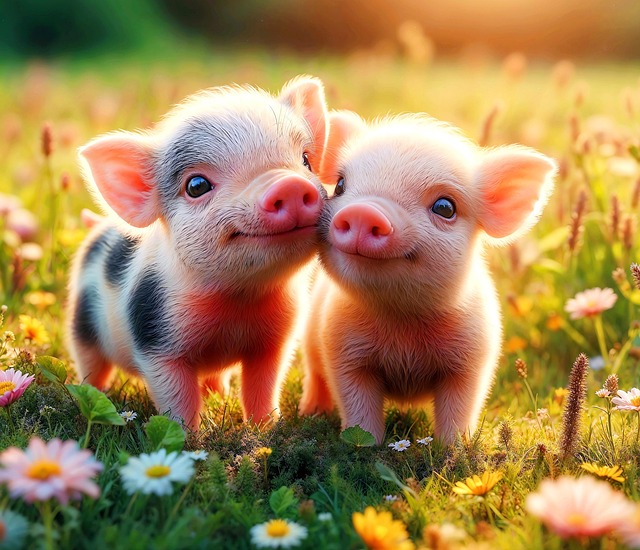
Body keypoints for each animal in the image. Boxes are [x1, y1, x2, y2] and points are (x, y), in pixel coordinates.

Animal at [66, 76, 329, 429]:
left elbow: (263, 385)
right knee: (91, 365)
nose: (289, 184)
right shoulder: (155, 337)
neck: (240, 300)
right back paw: (94, 394)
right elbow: (177, 398)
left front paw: (264, 428)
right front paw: (187, 436)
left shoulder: (276, 340)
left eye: (305, 161)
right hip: (82, 324)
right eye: (196, 186)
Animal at [300, 110, 556, 444]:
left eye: (445, 207)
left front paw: (455, 449)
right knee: (315, 375)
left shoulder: (474, 359)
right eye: (341, 185)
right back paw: (311, 413)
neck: (403, 321)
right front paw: (365, 445)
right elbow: (358, 406)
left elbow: (459, 408)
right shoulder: (342, 350)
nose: (363, 211)